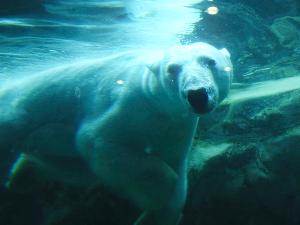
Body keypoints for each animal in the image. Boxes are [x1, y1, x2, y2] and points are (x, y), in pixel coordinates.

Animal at [0, 42, 232, 225]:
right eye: (172, 69)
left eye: (210, 61)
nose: (197, 94)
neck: (156, 102)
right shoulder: (129, 106)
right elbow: (101, 142)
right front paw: (158, 196)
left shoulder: (177, 127)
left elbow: (176, 174)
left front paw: (156, 215)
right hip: (19, 113)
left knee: (71, 167)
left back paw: (22, 176)